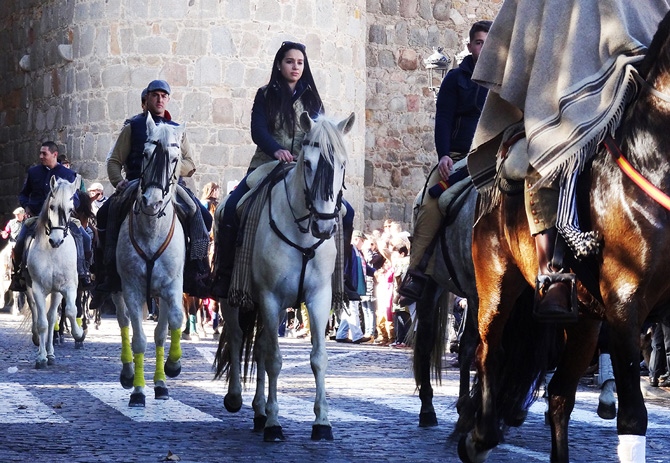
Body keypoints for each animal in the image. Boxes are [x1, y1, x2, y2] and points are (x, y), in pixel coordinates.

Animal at [25, 176, 86, 368]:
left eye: (71, 209)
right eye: (51, 206)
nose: (56, 241)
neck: (53, 252)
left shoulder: (68, 287)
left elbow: (71, 311)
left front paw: (78, 333)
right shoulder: (37, 289)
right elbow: (41, 323)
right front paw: (41, 358)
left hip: (56, 292)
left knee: (52, 318)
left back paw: (51, 354)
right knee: (39, 316)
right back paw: (42, 349)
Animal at [111, 115, 186, 407]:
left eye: (175, 158)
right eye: (144, 153)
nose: (151, 202)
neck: (153, 230)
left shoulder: (172, 287)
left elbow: (173, 322)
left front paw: (172, 367)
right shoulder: (132, 288)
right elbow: (139, 339)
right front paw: (138, 391)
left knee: (160, 332)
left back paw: (161, 383)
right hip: (118, 291)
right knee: (124, 323)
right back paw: (128, 373)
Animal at [213, 111, 355, 442]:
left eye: (343, 163)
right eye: (308, 163)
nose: (324, 227)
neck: (303, 232)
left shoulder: (317, 299)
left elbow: (318, 357)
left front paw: (322, 422)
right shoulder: (269, 297)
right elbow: (275, 360)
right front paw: (275, 423)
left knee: (260, 347)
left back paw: (259, 412)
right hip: (235, 299)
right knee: (238, 337)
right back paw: (237, 399)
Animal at [457, 12, 670, 463]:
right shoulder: (625, 307)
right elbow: (633, 418)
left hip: (585, 320)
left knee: (558, 395)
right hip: (496, 286)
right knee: (487, 353)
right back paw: (479, 435)